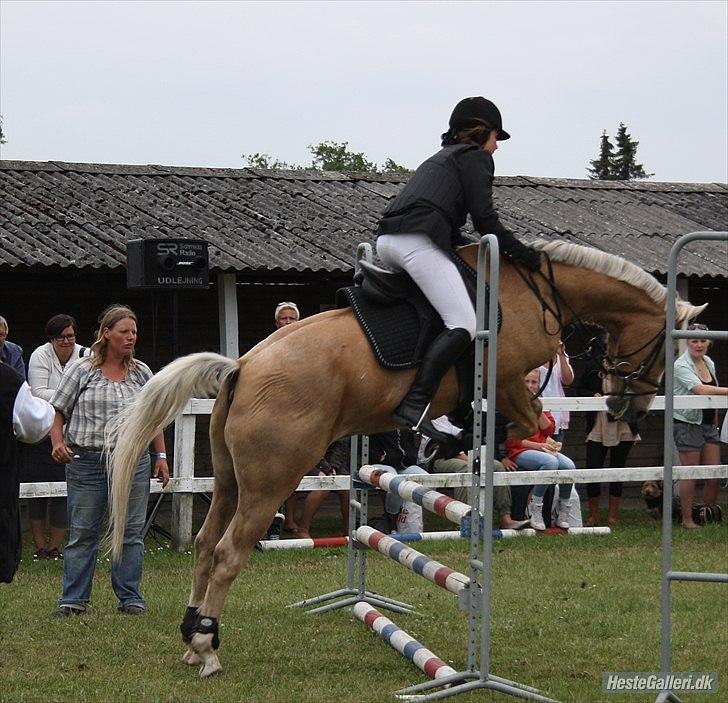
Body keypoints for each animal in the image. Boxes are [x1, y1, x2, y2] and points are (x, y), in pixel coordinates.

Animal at [105, 241, 704, 676]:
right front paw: (461, 446)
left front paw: (451, 442)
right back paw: (208, 647)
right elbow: (527, 425)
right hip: (272, 482)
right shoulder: (509, 380)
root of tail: (243, 366)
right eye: (668, 345)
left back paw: (191, 637)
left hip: (232, 481)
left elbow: (520, 425)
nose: (626, 407)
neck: (534, 290)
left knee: (207, 545)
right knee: (230, 552)